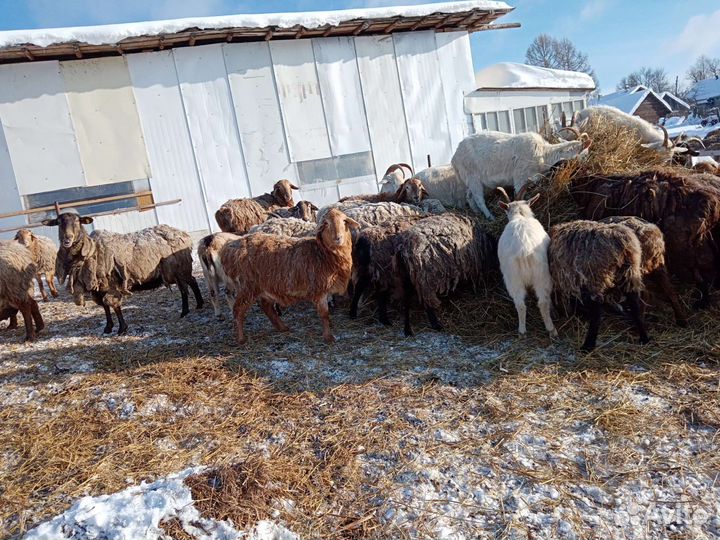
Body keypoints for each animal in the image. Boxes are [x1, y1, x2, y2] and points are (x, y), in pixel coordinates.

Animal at [43, 212, 203, 335]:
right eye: (58, 223)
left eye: (77, 221)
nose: (67, 239)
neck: (92, 251)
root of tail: (183, 234)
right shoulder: (99, 288)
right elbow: (105, 306)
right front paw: (108, 328)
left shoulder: (111, 285)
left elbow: (113, 304)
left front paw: (121, 329)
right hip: (182, 268)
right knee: (192, 281)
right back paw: (199, 304)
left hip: (177, 268)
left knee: (184, 288)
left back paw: (185, 311)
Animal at [220, 209, 360, 344]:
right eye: (326, 223)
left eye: (344, 221)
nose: (338, 238)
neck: (323, 254)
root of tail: (228, 248)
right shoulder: (319, 289)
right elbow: (324, 314)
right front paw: (328, 337)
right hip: (247, 286)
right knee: (238, 310)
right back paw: (241, 339)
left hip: (266, 285)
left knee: (266, 306)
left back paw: (283, 328)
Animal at [451, 130, 591, 220]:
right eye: (585, 153)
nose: (588, 169)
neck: (544, 153)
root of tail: (454, 158)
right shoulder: (520, 178)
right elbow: (520, 195)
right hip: (473, 177)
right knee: (478, 198)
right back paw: (490, 217)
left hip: (472, 180)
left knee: (470, 196)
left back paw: (477, 213)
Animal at [496, 187, 557, 338]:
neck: (520, 216)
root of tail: (524, 250)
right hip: (541, 276)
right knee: (542, 302)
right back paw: (551, 329)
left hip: (515, 279)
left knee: (521, 305)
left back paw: (522, 331)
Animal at [548, 220, 649, 351]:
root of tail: (622, 241)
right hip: (630, 273)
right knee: (635, 305)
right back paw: (644, 338)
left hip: (595, 277)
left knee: (597, 313)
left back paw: (588, 345)